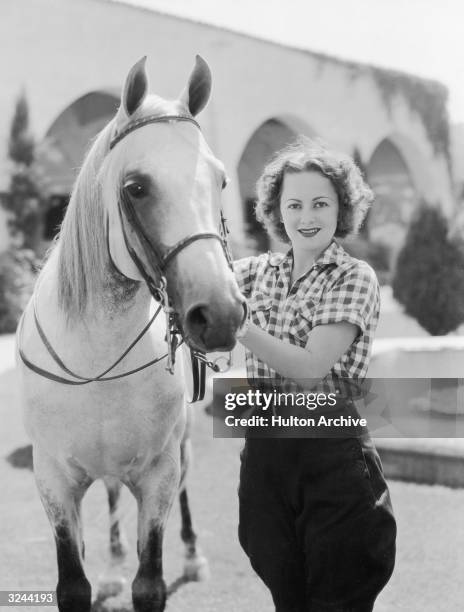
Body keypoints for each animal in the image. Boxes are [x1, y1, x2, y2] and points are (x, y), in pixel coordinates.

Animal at [16, 57, 245, 612]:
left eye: (221, 181)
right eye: (136, 187)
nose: (220, 313)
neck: (98, 358)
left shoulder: (158, 473)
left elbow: (150, 582)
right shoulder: (53, 479)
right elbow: (73, 585)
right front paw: (109, 572)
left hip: (181, 447)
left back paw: (192, 555)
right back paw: (114, 566)